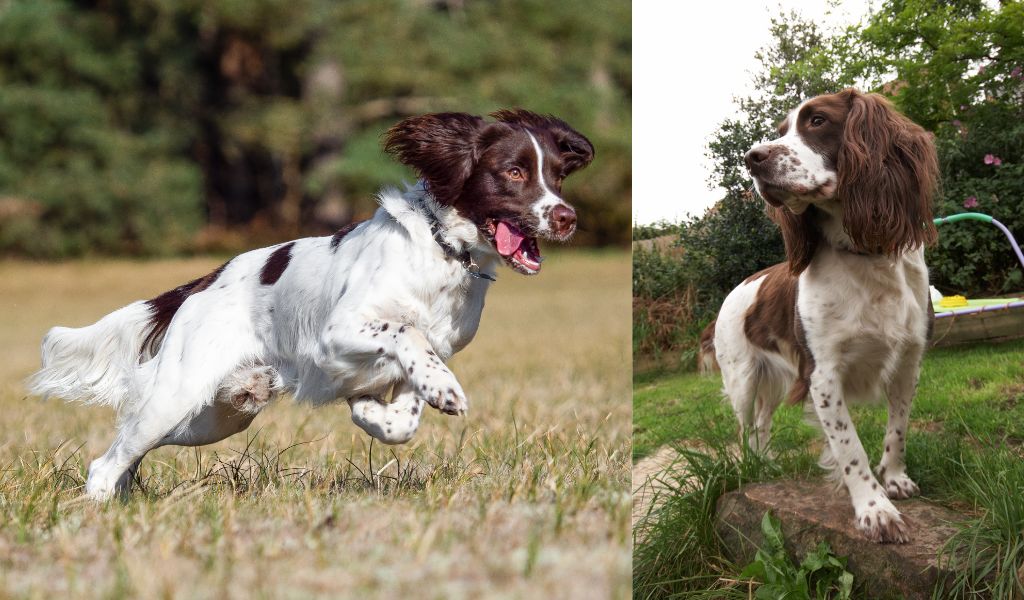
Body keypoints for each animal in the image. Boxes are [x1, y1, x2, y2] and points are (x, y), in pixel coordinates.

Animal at [32, 108, 598, 499]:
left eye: (558, 176)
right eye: (514, 172)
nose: (567, 217)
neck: (442, 254)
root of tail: (204, 283)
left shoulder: (422, 355)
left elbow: (404, 410)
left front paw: (377, 411)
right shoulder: (338, 332)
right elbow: (406, 332)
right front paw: (444, 390)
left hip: (214, 417)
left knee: (127, 448)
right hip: (177, 395)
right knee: (107, 460)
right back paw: (100, 509)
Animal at [704, 88, 937, 540]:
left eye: (817, 121)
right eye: (781, 131)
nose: (752, 157)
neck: (865, 256)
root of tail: (738, 287)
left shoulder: (909, 362)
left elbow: (898, 428)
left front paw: (895, 478)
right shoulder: (822, 374)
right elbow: (850, 448)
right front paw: (874, 509)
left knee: (762, 425)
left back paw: (765, 463)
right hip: (742, 380)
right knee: (744, 429)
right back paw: (750, 468)